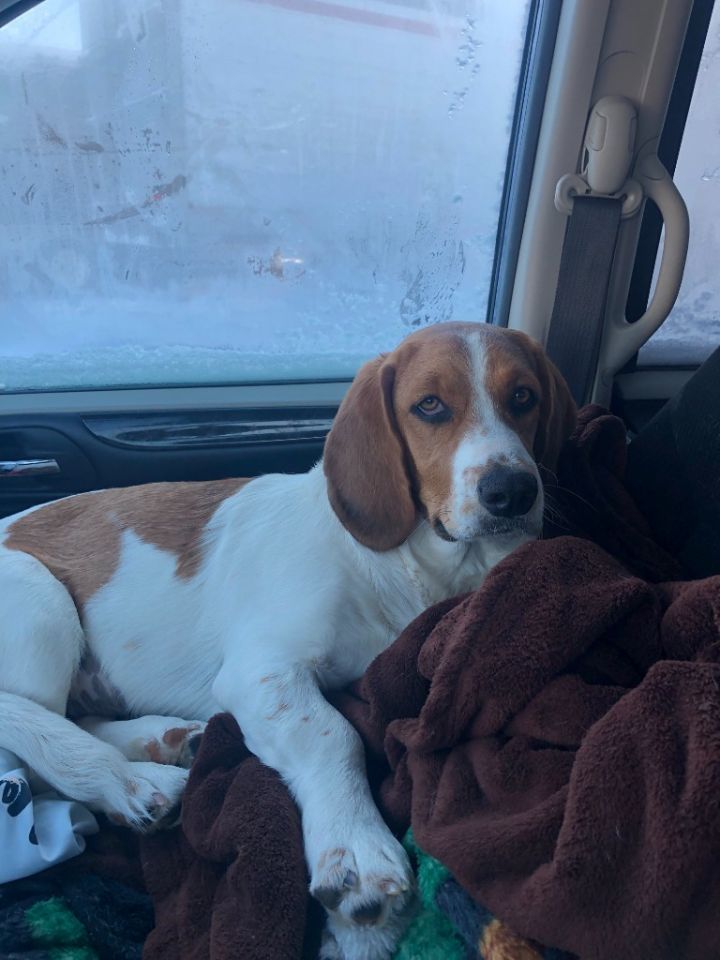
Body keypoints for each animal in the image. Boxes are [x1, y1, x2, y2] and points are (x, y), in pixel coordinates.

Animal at [0, 324, 572, 960]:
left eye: (523, 397)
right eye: (429, 406)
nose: (513, 491)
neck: (398, 565)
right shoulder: (261, 669)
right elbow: (334, 734)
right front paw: (356, 850)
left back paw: (167, 741)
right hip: (40, 599)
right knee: (28, 744)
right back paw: (130, 781)